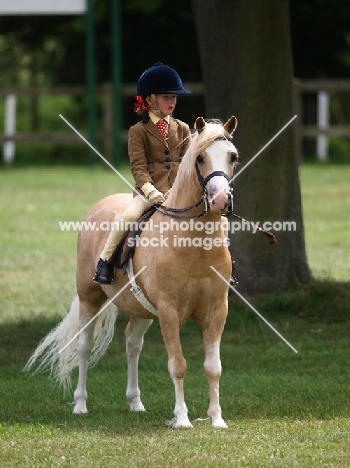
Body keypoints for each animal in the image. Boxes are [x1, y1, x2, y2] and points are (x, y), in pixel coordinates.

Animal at [24, 116, 238, 428]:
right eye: (199, 158)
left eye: (233, 156)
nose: (221, 199)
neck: (193, 244)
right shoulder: (169, 312)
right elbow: (178, 365)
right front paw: (181, 418)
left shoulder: (216, 311)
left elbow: (213, 367)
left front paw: (217, 419)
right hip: (90, 299)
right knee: (85, 346)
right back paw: (80, 404)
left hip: (142, 311)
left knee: (132, 344)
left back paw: (135, 402)